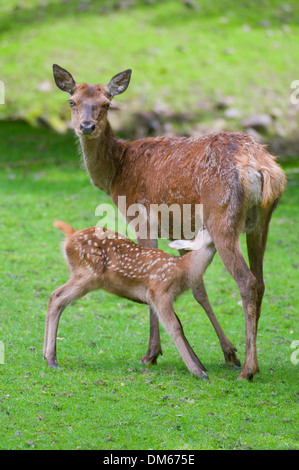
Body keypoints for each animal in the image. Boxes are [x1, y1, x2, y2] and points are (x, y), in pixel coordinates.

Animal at [53, 62, 286, 380]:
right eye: (72, 101)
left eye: (107, 103)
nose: (86, 127)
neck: (116, 174)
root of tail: (263, 168)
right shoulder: (181, 228)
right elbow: (198, 288)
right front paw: (228, 352)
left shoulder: (141, 217)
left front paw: (151, 354)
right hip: (262, 221)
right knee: (261, 281)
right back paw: (254, 363)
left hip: (222, 218)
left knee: (246, 282)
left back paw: (248, 370)